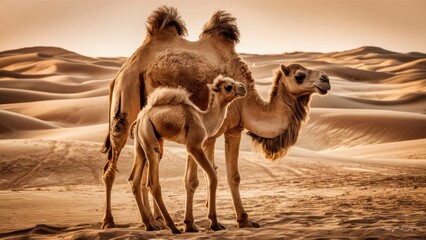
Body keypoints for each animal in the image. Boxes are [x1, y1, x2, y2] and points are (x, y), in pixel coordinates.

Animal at [128, 76, 246, 233]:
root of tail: (140, 117)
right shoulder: (195, 145)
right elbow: (212, 176)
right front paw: (215, 223)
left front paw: (190, 225)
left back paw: (150, 225)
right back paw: (172, 227)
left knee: (134, 179)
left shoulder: (189, 148)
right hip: (150, 141)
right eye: (228, 86)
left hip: (139, 145)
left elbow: (189, 180)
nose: (243, 87)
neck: (204, 120)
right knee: (152, 183)